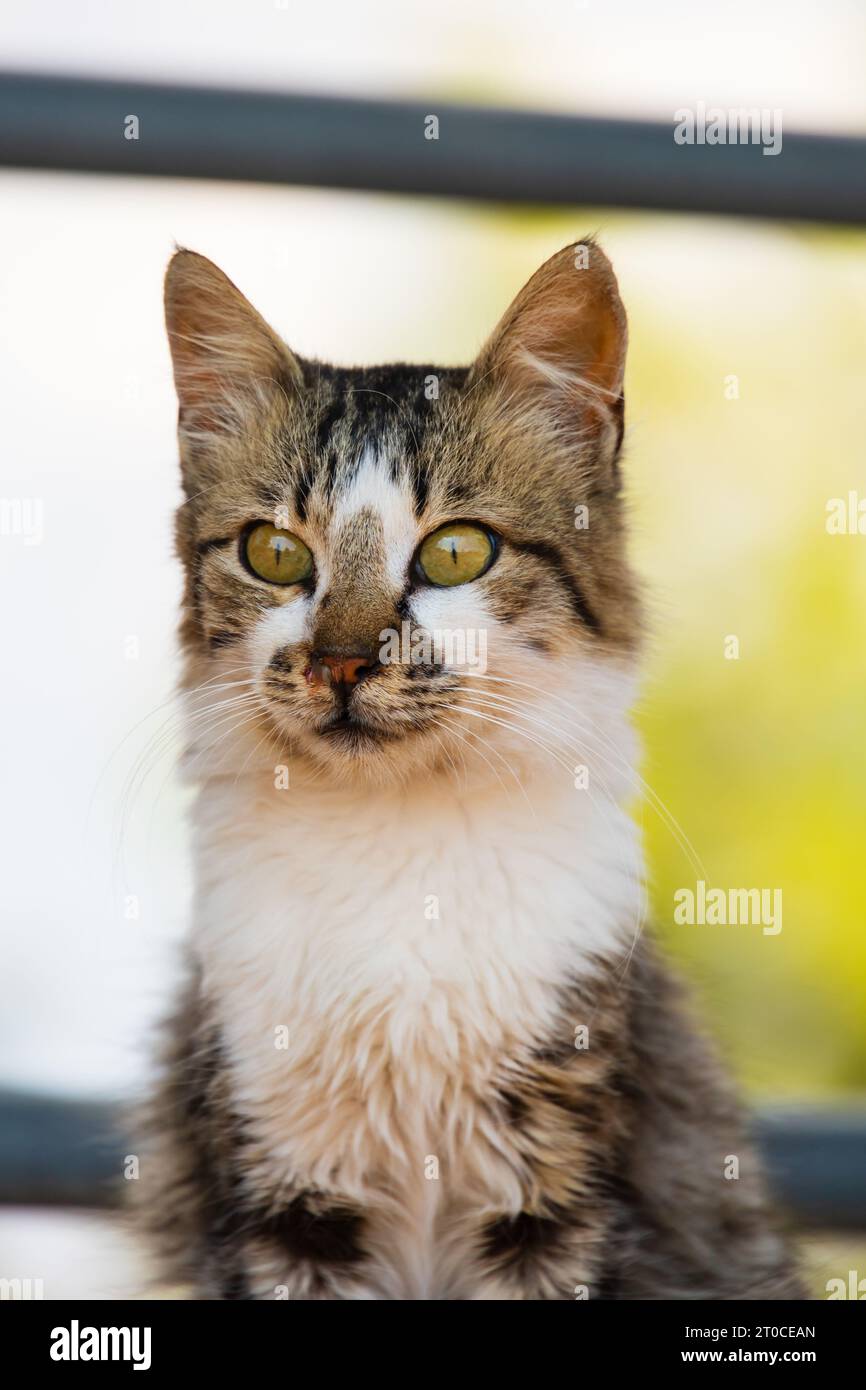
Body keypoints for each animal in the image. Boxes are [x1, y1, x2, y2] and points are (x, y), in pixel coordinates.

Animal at [135, 239, 806, 1301]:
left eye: (456, 552)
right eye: (275, 554)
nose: (341, 662)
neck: (396, 840)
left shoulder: (555, 1185)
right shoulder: (279, 1186)